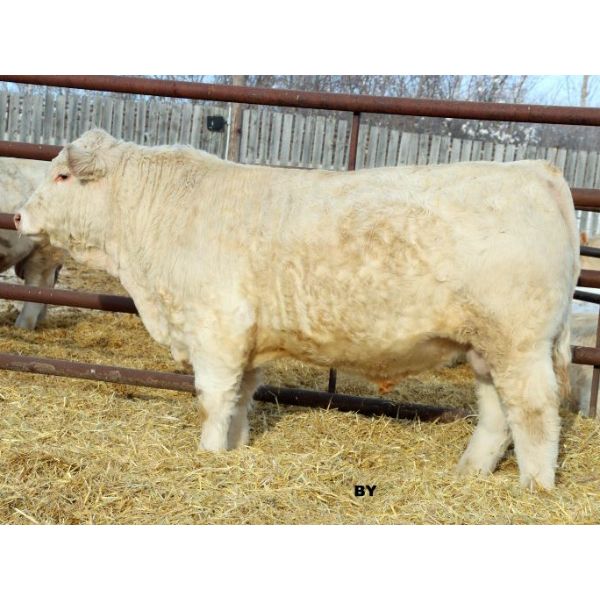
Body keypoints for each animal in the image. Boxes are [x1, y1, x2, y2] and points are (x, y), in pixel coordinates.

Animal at [15, 129, 580, 490]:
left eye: (62, 177)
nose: (17, 215)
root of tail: (539, 170)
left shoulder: (216, 328)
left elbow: (213, 398)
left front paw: (207, 454)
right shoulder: (246, 339)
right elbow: (240, 398)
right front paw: (234, 450)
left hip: (518, 343)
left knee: (534, 411)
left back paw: (534, 487)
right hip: (485, 345)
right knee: (497, 411)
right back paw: (470, 472)